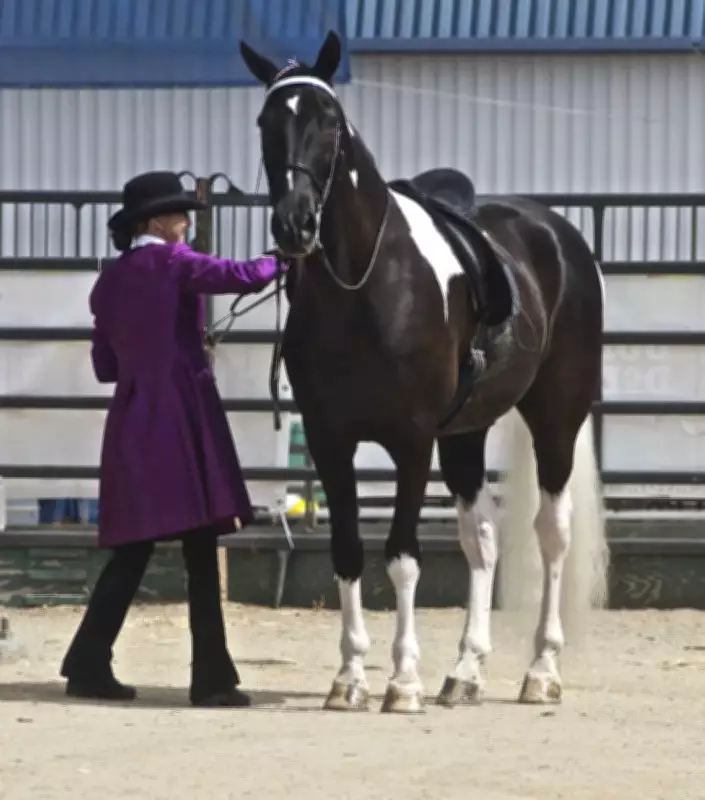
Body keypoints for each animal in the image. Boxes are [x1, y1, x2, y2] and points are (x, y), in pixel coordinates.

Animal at [239, 31, 609, 714]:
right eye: (266, 121)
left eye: (330, 121)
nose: (294, 224)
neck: (365, 286)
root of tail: (557, 233)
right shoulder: (330, 441)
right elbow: (349, 552)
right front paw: (349, 678)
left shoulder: (410, 441)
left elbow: (403, 557)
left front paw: (402, 680)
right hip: (463, 434)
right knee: (481, 537)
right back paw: (465, 672)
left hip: (556, 418)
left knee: (552, 533)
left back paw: (541, 670)